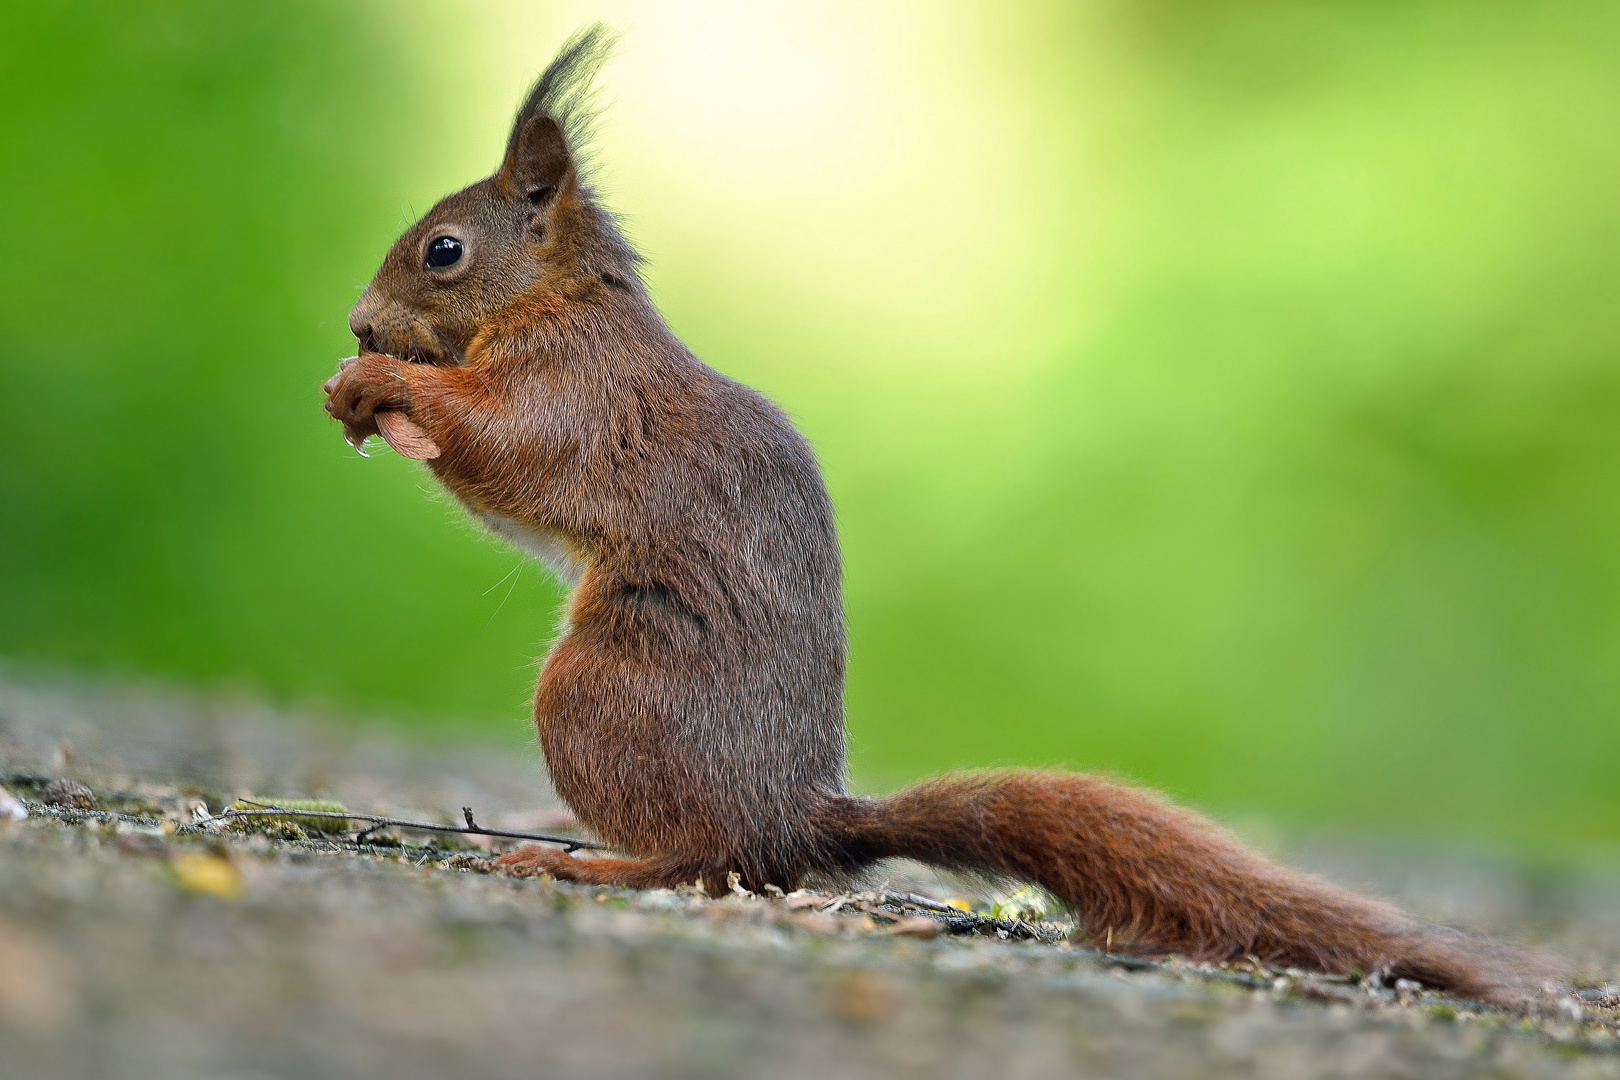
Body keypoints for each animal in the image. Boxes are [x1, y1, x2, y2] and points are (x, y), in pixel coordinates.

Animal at [322, 23, 1561, 1003]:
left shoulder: (574, 396)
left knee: (708, 861)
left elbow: (507, 455)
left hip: (598, 694)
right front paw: (358, 400)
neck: (556, 302)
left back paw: (582, 863)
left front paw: (386, 392)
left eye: (443, 251)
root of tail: (796, 814)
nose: (358, 323)